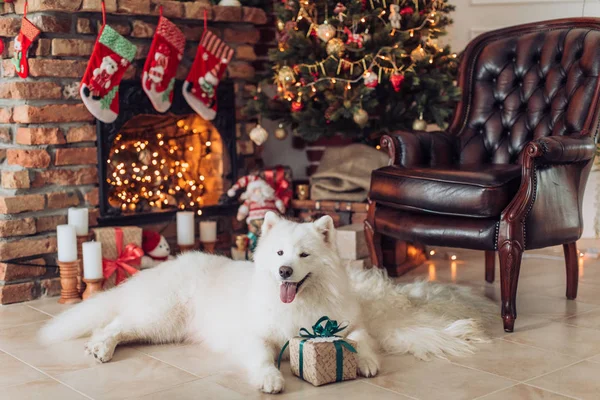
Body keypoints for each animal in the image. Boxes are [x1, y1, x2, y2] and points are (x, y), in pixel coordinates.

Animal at [39, 212, 494, 394]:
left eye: (303, 255)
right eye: (278, 254)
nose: (285, 272)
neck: (298, 304)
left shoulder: (348, 323)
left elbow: (363, 340)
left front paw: (365, 361)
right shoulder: (256, 336)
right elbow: (261, 357)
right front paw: (271, 379)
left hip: (164, 328)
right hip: (159, 316)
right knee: (114, 324)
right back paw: (100, 347)